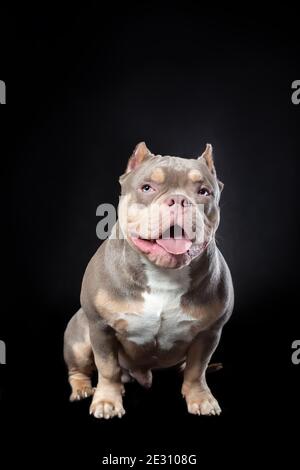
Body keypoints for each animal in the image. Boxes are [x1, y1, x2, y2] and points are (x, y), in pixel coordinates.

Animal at [63, 142, 234, 418]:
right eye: (147, 188)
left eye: (204, 192)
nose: (179, 200)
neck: (162, 272)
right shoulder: (101, 328)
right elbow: (108, 368)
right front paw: (107, 401)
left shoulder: (208, 333)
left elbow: (196, 370)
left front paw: (200, 398)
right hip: (79, 340)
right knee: (79, 369)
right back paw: (83, 389)